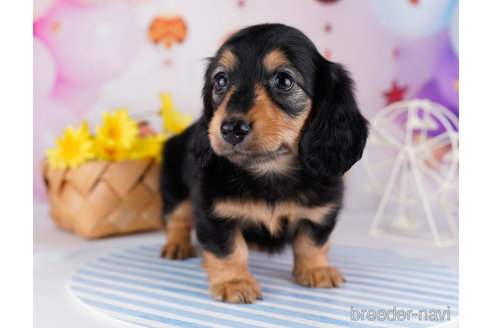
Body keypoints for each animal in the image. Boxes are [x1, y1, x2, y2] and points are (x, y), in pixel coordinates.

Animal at [160, 23, 368, 304]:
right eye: (221, 80)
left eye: (284, 81)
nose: (230, 129)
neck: (269, 170)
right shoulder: (212, 212)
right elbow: (228, 249)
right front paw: (235, 281)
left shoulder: (322, 209)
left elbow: (312, 241)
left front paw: (317, 269)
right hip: (174, 187)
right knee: (177, 218)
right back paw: (177, 245)